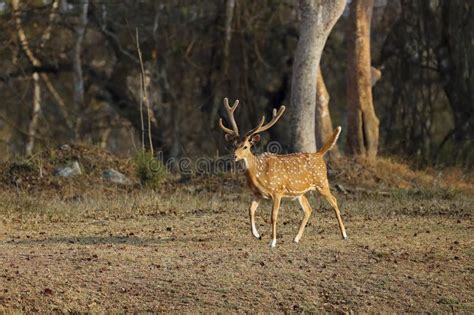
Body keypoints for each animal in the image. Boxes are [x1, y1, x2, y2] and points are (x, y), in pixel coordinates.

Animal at [219, 97, 348, 248]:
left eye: (245, 146)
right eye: (234, 145)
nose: (234, 156)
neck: (259, 175)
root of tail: (319, 154)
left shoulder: (277, 191)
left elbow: (273, 216)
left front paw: (273, 242)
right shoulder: (258, 194)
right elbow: (250, 210)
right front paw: (257, 235)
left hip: (322, 181)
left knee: (334, 201)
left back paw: (344, 234)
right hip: (300, 192)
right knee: (308, 209)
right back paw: (296, 238)